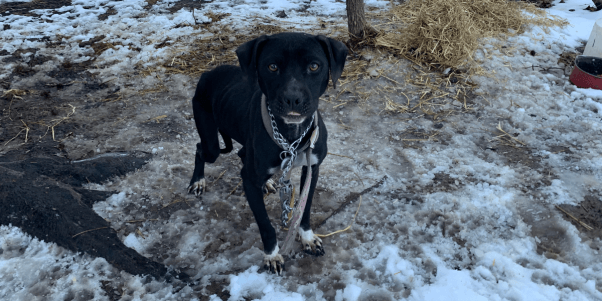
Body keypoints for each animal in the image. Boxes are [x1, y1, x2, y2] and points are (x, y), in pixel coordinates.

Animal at [188, 32, 346, 274]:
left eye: (314, 66)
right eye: (272, 66)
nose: (293, 99)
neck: (291, 137)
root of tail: (208, 72)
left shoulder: (312, 168)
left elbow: (305, 208)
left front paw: (307, 237)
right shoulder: (248, 180)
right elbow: (265, 224)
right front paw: (272, 255)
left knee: (241, 154)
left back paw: (267, 183)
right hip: (211, 142)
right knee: (200, 149)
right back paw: (197, 181)